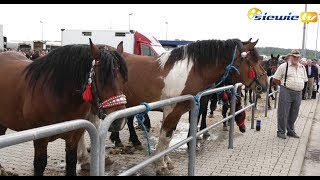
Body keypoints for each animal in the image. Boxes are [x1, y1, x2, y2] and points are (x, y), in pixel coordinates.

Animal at [0, 40, 127, 176]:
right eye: (102, 78)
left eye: (123, 78)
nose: (120, 121)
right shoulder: (40, 139)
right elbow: (40, 164)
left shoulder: (74, 135)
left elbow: (71, 161)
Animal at [84, 38, 268, 175]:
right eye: (251, 60)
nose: (265, 85)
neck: (190, 71)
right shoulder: (172, 110)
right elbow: (165, 138)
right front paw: (160, 165)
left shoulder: (178, 112)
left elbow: (168, 137)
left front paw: (166, 161)